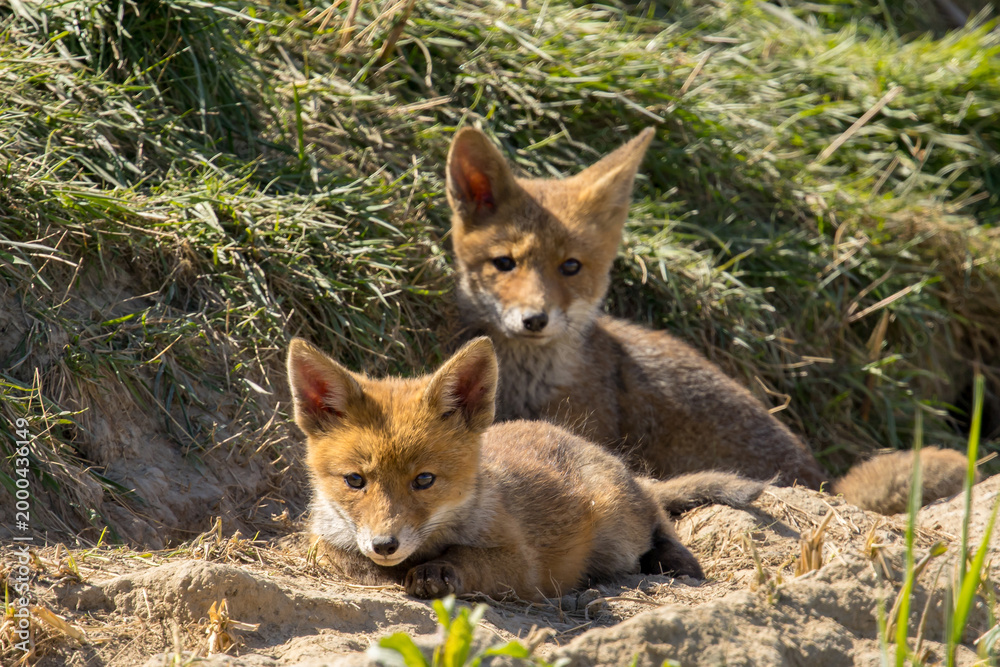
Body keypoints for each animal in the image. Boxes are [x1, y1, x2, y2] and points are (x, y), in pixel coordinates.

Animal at [286, 336, 766, 600]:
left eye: (424, 480)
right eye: (355, 481)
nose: (385, 544)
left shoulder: (522, 563)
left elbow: (466, 558)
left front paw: (435, 571)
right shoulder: (322, 542)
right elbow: (350, 560)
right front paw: (394, 569)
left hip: (621, 528)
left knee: (658, 515)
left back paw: (677, 562)